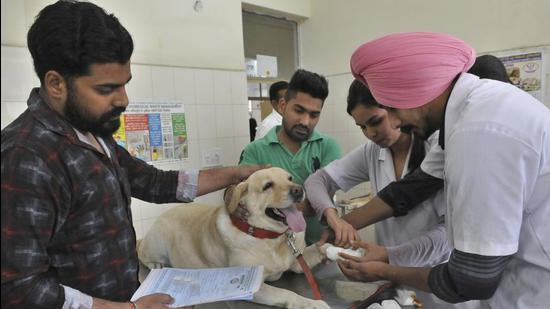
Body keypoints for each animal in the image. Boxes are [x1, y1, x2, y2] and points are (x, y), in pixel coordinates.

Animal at [140, 167, 330, 306]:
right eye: (268, 185)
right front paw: (313, 304)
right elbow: (287, 292)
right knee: (142, 253)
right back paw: (155, 264)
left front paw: (333, 251)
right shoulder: (252, 286)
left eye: (290, 178)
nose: (299, 190)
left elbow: (321, 248)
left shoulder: (298, 263)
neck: (270, 238)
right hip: (158, 240)